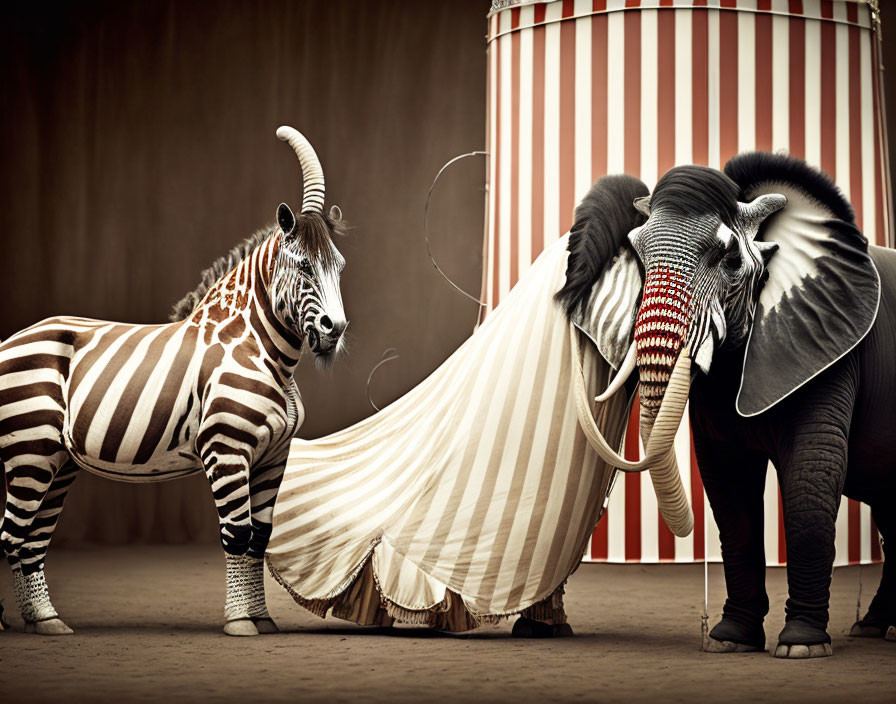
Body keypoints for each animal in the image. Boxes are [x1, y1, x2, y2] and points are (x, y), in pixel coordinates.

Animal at [0, 126, 346, 640]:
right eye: (304, 265)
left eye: (339, 267)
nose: (334, 330)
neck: (259, 349)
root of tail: (14, 338)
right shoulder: (227, 449)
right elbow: (237, 535)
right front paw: (240, 622)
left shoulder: (273, 456)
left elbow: (260, 539)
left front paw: (262, 618)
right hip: (29, 451)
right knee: (10, 534)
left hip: (57, 461)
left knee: (31, 540)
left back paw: (46, 621)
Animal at [556, 151, 892, 656]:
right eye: (636, 255)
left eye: (730, 258)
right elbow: (729, 487)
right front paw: (729, 641)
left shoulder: (829, 342)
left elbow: (810, 472)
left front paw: (801, 647)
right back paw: (873, 629)